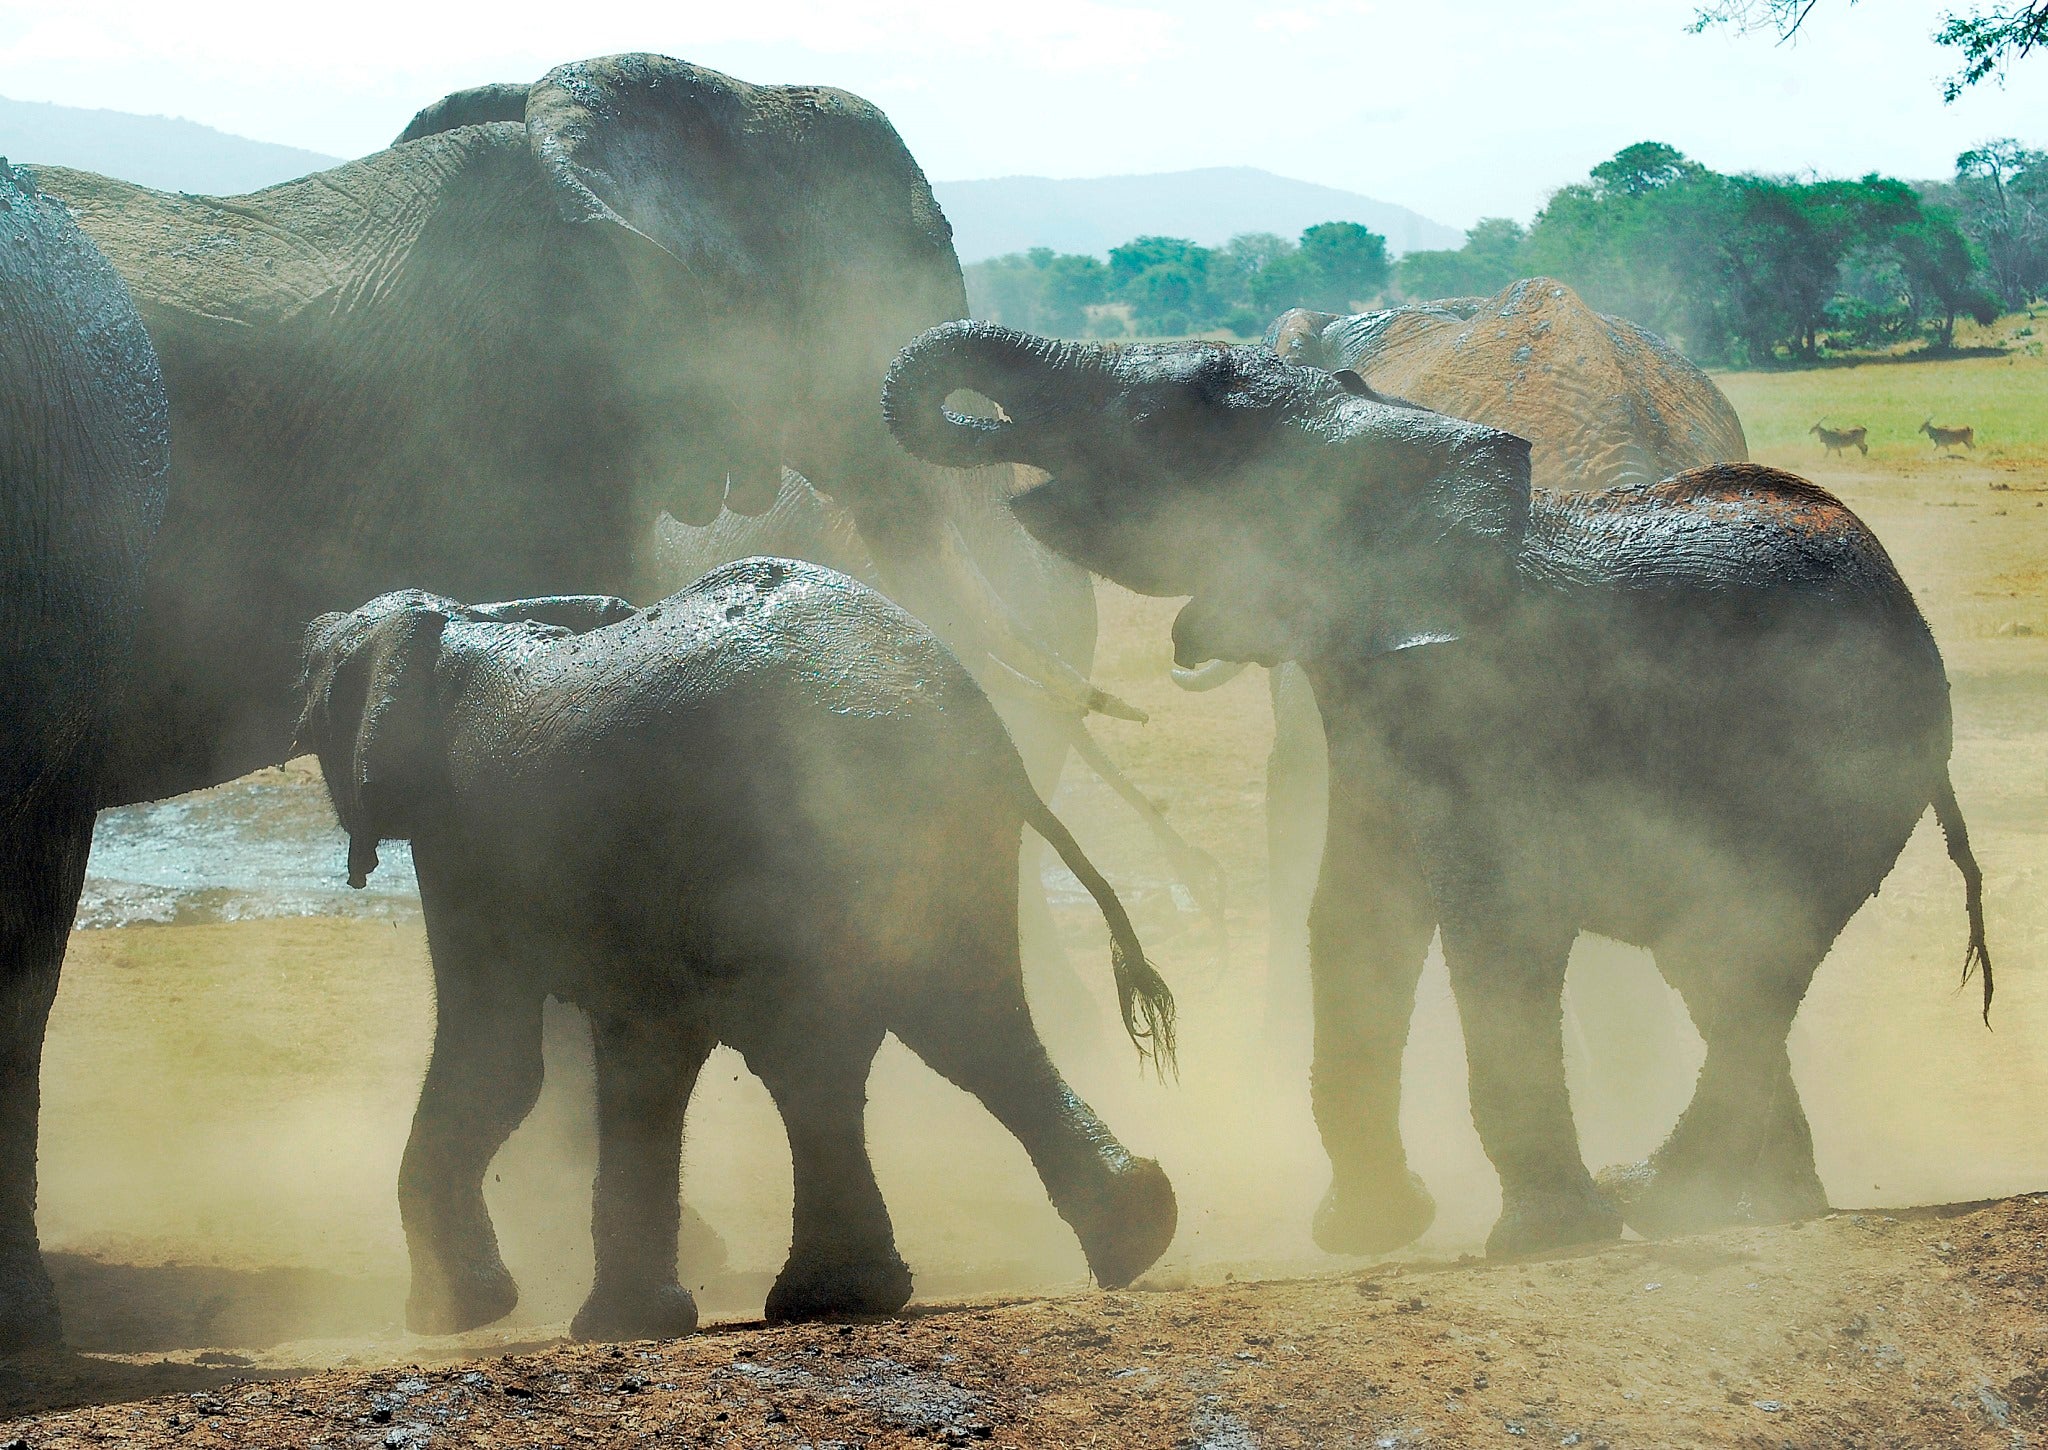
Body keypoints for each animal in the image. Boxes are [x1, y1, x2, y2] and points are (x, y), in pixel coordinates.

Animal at [294, 557, 1179, 1335]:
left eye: (313, 695)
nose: (304, 628)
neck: (467, 620)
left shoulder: (466, 845)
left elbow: (497, 1064)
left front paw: (459, 1319)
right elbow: (632, 1055)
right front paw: (620, 1325)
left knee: (835, 1049)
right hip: (926, 838)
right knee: (960, 1025)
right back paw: (1128, 1235)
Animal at [888, 323, 1990, 1261]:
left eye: (1176, 419)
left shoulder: (1499, 708)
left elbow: (1498, 922)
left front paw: (1546, 1240)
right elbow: (1351, 915)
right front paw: (1367, 1232)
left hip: (1853, 766)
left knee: (1742, 963)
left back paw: (1662, 1199)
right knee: (1727, 977)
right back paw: (1742, 1204)